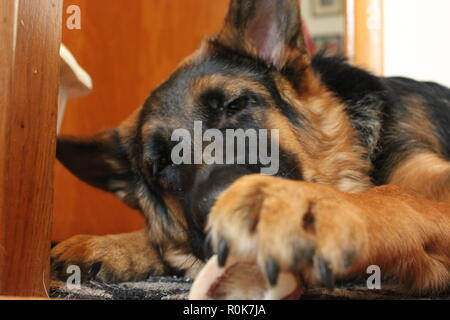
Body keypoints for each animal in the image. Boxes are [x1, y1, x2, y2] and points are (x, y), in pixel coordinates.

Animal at [53, 0, 450, 296]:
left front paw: (307, 206)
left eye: (236, 105)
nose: (216, 206)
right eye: (162, 163)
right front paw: (111, 244)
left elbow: (393, 194)